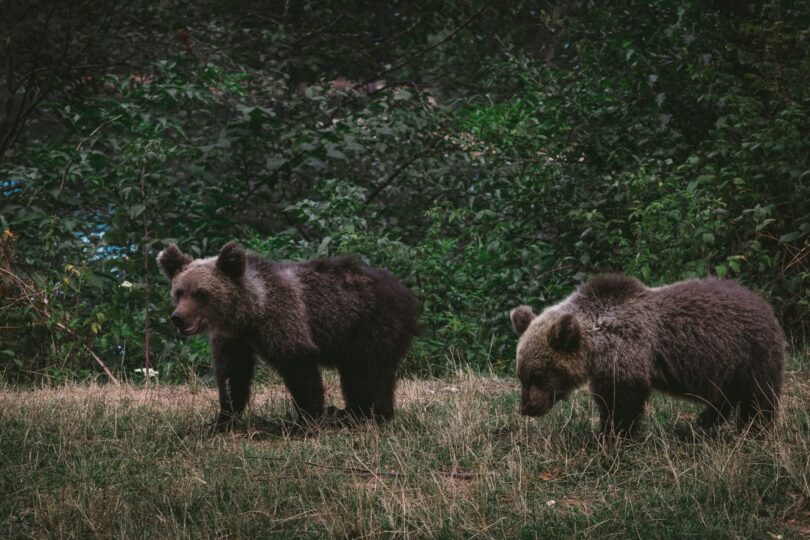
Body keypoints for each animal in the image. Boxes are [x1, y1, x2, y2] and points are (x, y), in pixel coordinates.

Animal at [156, 242, 416, 430]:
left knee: (366, 373)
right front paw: (220, 420)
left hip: (369, 327)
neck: (251, 312)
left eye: (200, 293)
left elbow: (299, 366)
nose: (178, 317)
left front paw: (308, 419)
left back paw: (362, 414)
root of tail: (405, 291)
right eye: (179, 291)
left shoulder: (283, 320)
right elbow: (232, 375)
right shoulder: (233, 340)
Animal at [512, 274, 784, 434]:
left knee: (756, 397)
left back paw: (752, 430)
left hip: (750, 353)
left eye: (539, 375)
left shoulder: (626, 351)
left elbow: (621, 401)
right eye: (522, 376)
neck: (595, 344)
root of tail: (763, 303)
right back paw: (701, 423)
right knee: (725, 397)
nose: (526, 408)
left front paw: (612, 435)